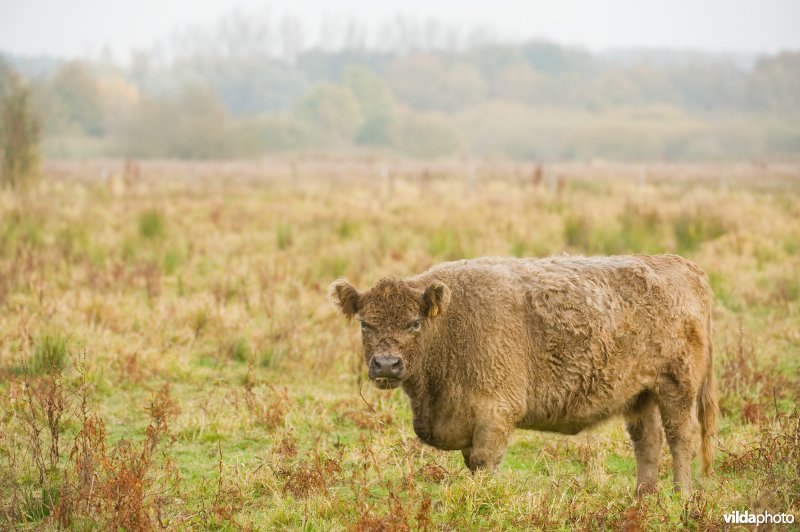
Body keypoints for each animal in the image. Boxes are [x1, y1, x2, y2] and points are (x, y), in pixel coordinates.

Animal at [328, 256, 716, 492]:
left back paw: (681, 496)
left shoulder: (496, 415)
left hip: (676, 388)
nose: (387, 364)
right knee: (647, 443)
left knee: (680, 439)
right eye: (365, 324)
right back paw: (642, 498)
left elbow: (484, 465)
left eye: (414, 323)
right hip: (639, 395)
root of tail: (683, 266)